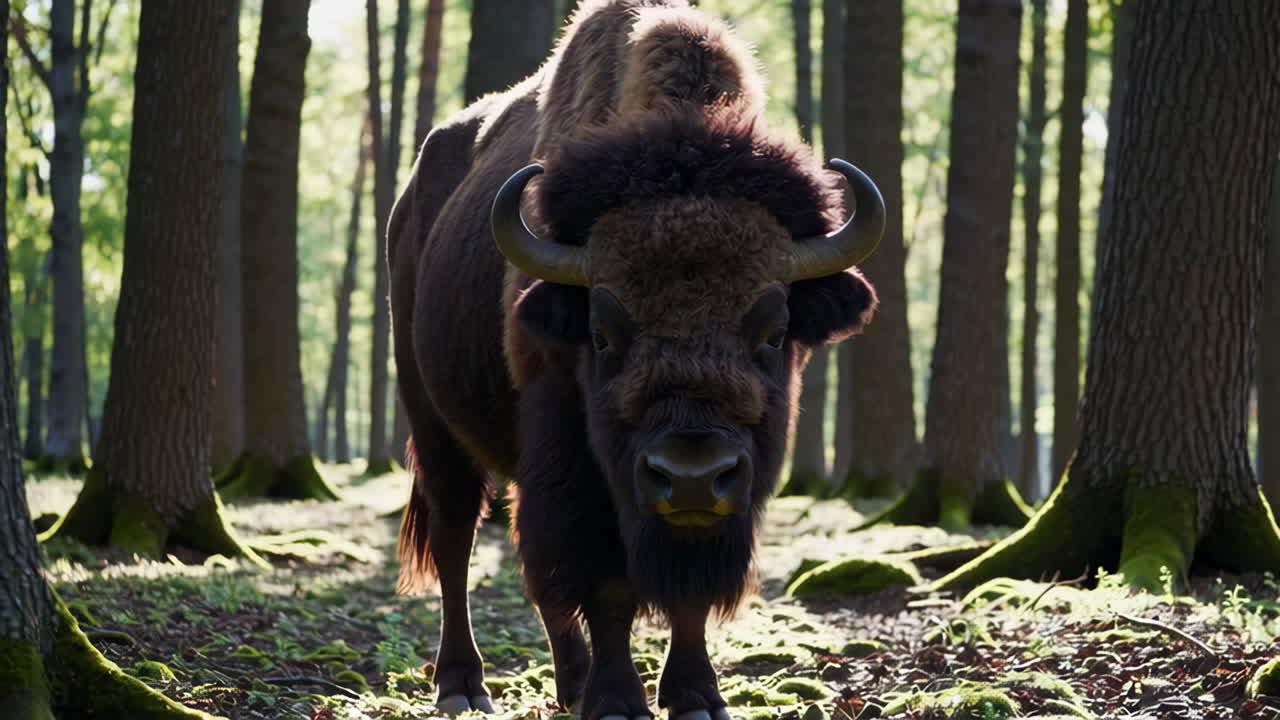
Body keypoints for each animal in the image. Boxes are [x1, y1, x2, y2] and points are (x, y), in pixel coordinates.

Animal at [388, 1, 884, 718]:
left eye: (772, 330)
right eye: (602, 333)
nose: (692, 475)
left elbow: (687, 597)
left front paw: (696, 695)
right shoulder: (581, 471)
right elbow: (608, 587)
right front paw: (619, 699)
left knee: (530, 566)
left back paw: (570, 683)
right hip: (432, 419)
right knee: (458, 535)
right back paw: (463, 685)